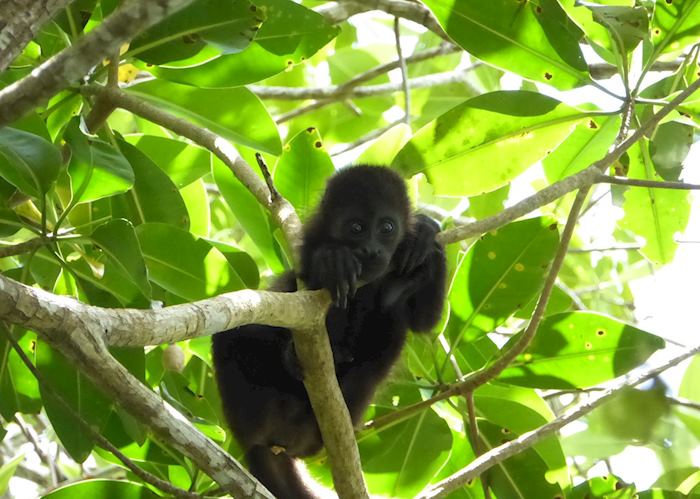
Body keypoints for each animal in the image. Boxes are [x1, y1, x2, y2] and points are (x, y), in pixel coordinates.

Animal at [211, 166, 446, 498]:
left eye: (387, 227)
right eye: (356, 227)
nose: (371, 249)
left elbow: (424, 320)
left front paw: (425, 235)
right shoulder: (312, 236)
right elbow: (302, 277)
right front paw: (331, 260)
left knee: (391, 321)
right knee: (232, 337)